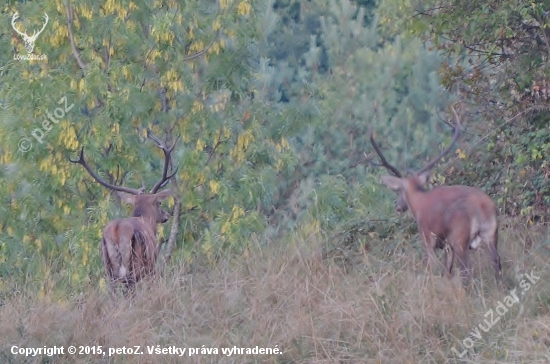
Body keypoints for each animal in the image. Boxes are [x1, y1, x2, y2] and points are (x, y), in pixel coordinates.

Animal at [70, 134, 180, 296]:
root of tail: (117, 229)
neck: (145, 219)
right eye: (159, 203)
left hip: (108, 268)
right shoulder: (152, 266)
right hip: (134, 265)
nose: (166, 215)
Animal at [370, 106, 504, 288]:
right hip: (491, 233)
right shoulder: (446, 245)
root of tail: (482, 207)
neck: (418, 203)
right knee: (496, 262)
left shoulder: (427, 236)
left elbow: (432, 267)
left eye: (398, 190)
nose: (398, 206)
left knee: (466, 270)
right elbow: (447, 270)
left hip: (459, 237)